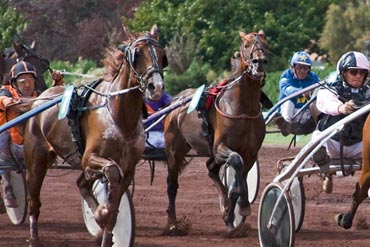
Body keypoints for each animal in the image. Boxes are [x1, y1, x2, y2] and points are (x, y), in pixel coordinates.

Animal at [22, 23, 166, 247]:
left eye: (160, 55)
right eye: (138, 54)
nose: (156, 87)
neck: (118, 115)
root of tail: (41, 98)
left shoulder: (129, 168)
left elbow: (114, 209)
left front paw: (106, 227)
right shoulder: (90, 158)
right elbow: (111, 173)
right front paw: (100, 212)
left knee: (81, 183)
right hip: (36, 161)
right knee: (33, 202)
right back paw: (34, 238)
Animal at [163, 31, 268, 234]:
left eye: (266, 45)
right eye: (246, 45)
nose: (259, 61)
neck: (243, 108)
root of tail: (175, 101)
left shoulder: (251, 153)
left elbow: (237, 183)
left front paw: (231, 216)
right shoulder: (220, 147)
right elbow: (235, 162)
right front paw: (240, 208)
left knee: (211, 169)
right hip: (174, 150)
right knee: (172, 185)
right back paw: (172, 223)